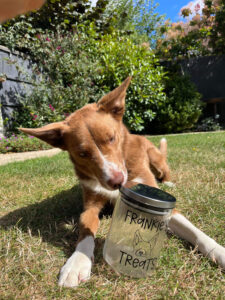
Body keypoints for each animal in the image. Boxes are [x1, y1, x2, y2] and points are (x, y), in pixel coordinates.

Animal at [20, 77, 224, 288]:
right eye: (82, 154)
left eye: (111, 138)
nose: (117, 182)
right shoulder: (90, 205)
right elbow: (85, 227)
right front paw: (77, 262)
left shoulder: (168, 209)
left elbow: (196, 232)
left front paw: (219, 252)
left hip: (157, 160)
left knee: (164, 173)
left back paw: (168, 183)